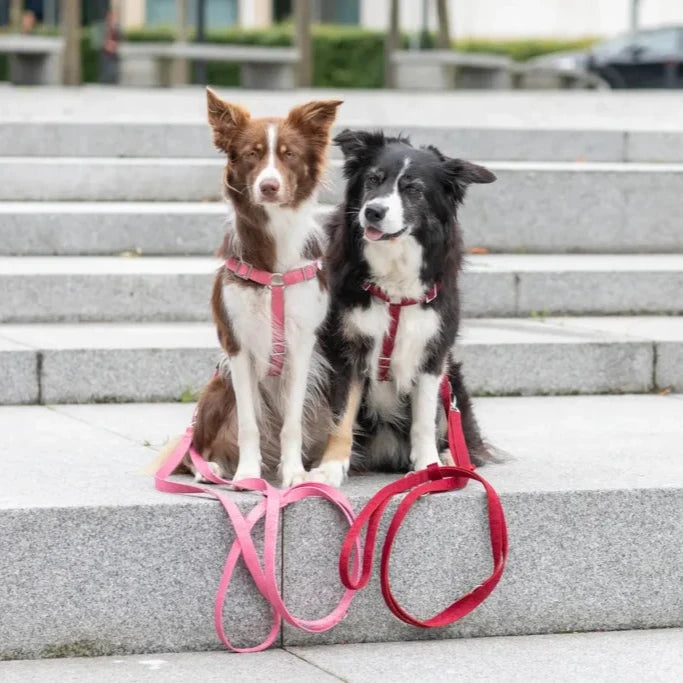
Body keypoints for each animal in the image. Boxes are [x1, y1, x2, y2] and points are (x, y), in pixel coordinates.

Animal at [174, 91, 344, 486]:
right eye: (252, 154)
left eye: (289, 154)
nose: (269, 186)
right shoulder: (236, 344)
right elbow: (248, 424)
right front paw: (247, 475)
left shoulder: (302, 345)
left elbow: (291, 424)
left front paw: (294, 473)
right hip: (216, 390)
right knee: (197, 446)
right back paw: (213, 468)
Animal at [306, 131, 496, 488]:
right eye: (373, 179)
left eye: (414, 189)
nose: (373, 212)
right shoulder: (346, 351)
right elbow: (341, 417)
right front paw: (330, 468)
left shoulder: (432, 353)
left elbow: (424, 419)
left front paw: (429, 468)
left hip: (454, 380)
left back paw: (451, 458)